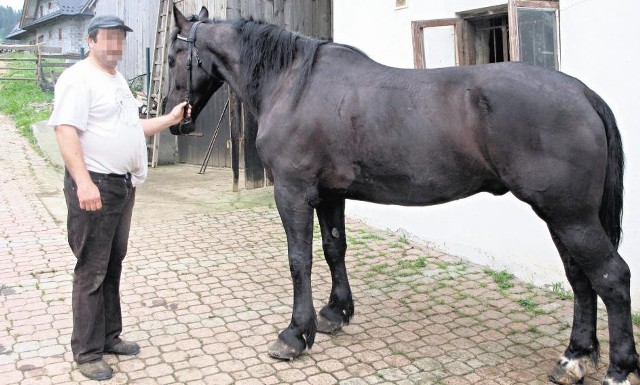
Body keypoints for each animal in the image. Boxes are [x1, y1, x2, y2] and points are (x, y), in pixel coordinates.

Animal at [168, 6, 636, 384]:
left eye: (173, 56)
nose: (173, 119)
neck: (294, 86)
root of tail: (583, 94)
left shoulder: (293, 192)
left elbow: (299, 261)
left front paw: (295, 334)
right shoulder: (330, 194)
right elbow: (334, 249)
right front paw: (336, 313)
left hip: (570, 215)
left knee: (611, 277)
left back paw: (618, 368)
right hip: (561, 215)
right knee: (580, 279)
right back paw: (575, 358)